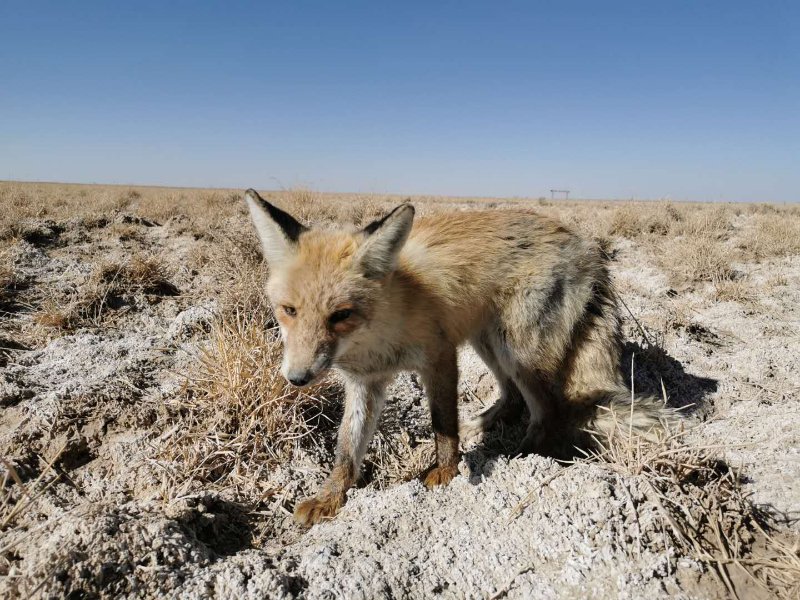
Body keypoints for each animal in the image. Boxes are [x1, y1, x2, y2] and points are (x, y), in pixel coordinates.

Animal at [243, 189, 675, 526]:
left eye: (340, 315)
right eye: (289, 310)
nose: (297, 378)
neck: (379, 333)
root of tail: (585, 245)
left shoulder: (439, 356)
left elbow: (443, 427)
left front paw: (446, 473)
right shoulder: (365, 381)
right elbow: (348, 447)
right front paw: (331, 497)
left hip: (516, 351)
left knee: (549, 411)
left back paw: (521, 456)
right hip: (488, 343)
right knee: (513, 398)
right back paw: (485, 426)